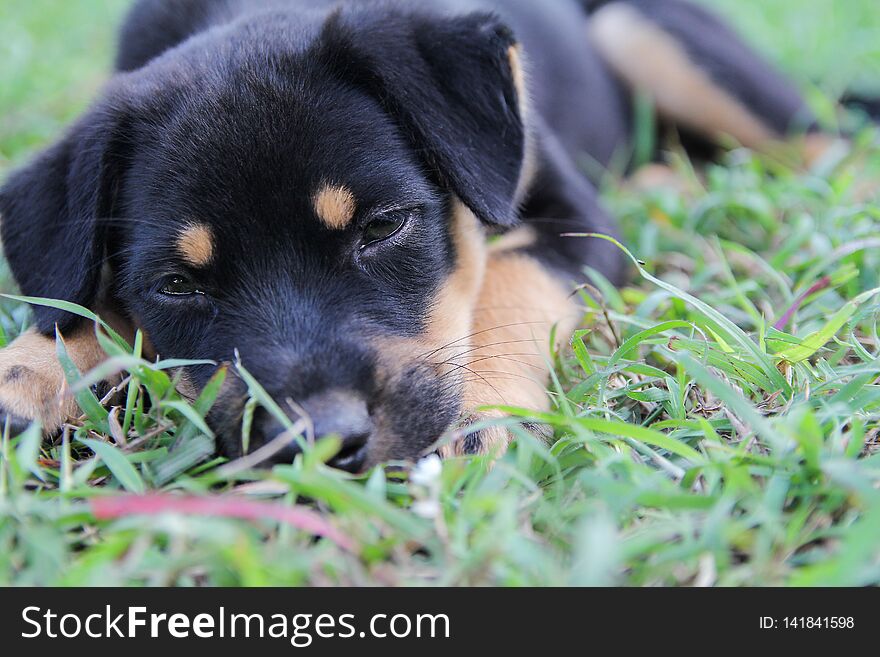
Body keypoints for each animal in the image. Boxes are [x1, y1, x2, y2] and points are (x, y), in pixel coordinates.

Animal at [0, 1, 820, 472]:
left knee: (822, 141)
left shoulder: (573, 218)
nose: (325, 441)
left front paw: (472, 415)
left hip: (644, 30)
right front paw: (27, 374)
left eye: (385, 226)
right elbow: (78, 305)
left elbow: (507, 283)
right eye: (176, 285)